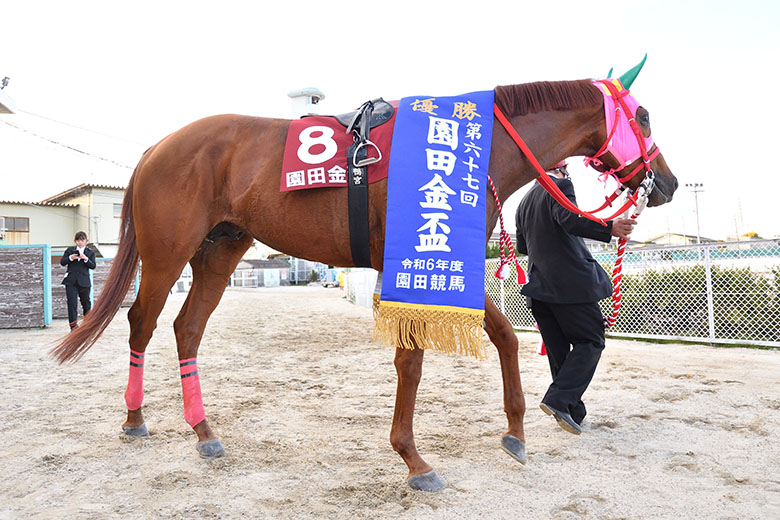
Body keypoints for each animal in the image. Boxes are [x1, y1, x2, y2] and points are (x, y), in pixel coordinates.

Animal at [53, 77, 676, 492]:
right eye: (644, 115)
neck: (464, 148)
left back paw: (203, 430)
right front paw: (414, 460)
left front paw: (516, 431)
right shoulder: (405, 262)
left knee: (187, 327)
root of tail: (158, 148)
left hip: (220, 249)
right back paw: (135, 420)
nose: (666, 182)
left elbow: (503, 335)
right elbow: (413, 361)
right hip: (168, 252)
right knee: (143, 322)